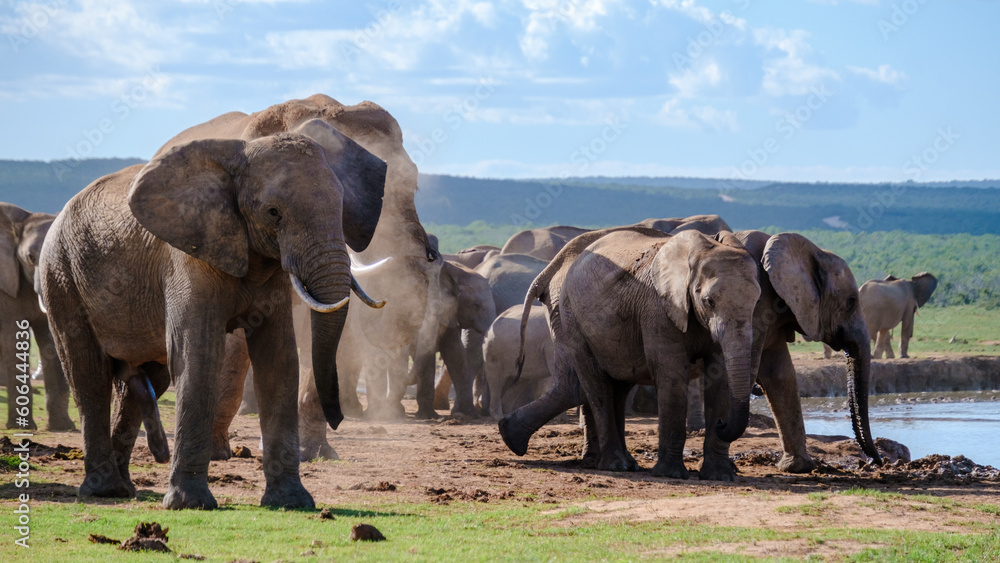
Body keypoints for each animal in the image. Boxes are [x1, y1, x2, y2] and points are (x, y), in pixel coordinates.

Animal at [556, 229, 756, 476]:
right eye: (709, 301)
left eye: (756, 302)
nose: (722, 423)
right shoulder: (658, 307)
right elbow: (672, 375)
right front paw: (671, 474)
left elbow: (720, 379)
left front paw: (720, 476)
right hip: (572, 321)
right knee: (598, 387)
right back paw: (616, 465)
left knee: (620, 387)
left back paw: (629, 464)